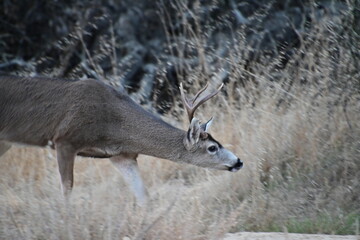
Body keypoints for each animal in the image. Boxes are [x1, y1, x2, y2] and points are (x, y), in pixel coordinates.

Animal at [0, 76, 243, 203]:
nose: (238, 161)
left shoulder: (121, 155)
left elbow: (144, 195)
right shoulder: (65, 140)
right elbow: (67, 191)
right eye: (212, 148)